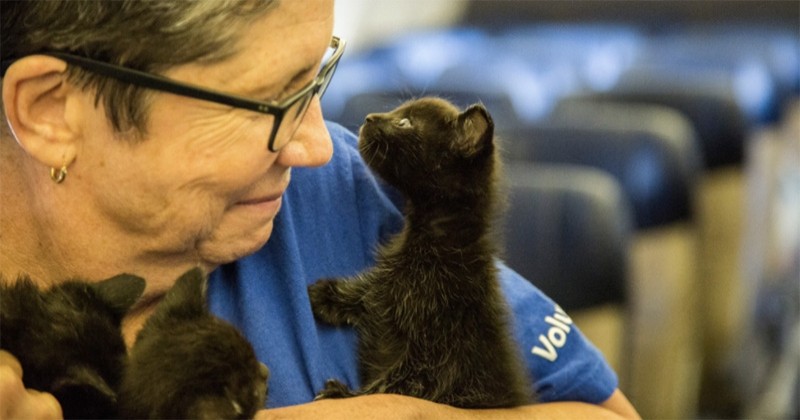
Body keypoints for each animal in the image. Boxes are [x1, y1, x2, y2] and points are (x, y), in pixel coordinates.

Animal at [310, 97, 536, 406]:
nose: (370, 118)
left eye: (405, 122)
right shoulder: (388, 285)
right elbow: (369, 290)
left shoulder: (439, 353)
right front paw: (327, 294)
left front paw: (345, 395)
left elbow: (397, 383)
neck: (432, 241)